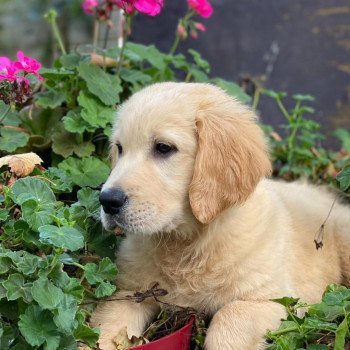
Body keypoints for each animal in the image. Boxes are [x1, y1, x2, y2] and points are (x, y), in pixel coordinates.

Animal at [91, 82, 350, 350]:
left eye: (163, 148)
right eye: (120, 148)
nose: (107, 201)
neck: (187, 245)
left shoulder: (276, 299)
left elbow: (229, 318)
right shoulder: (129, 293)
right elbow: (105, 331)